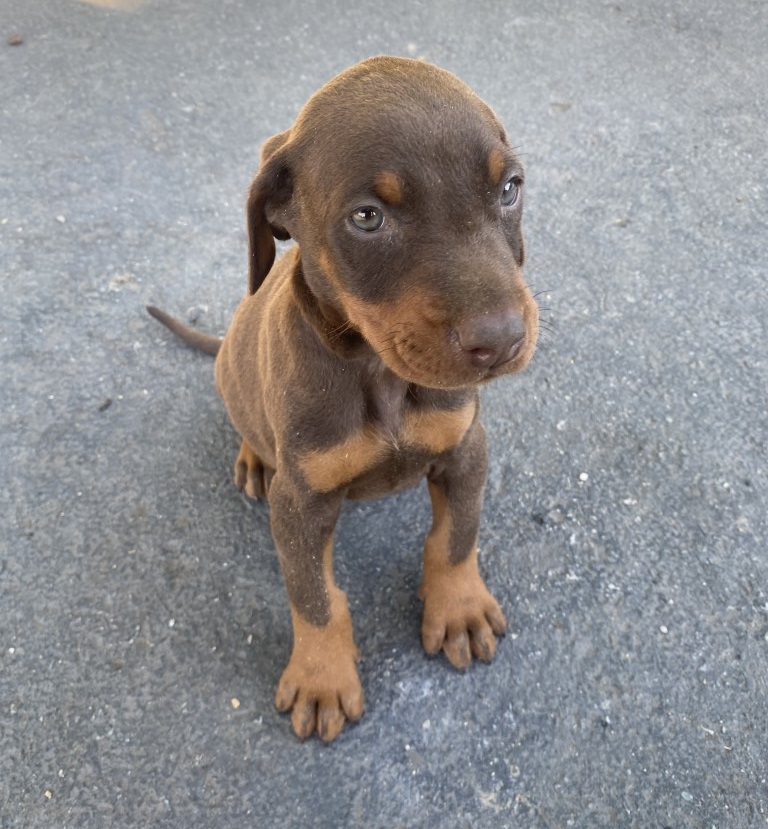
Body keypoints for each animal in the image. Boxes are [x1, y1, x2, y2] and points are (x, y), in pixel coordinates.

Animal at [146, 58, 540, 744]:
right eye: (367, 218)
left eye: (509, 188)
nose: (502, 340)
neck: (378, 373)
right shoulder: (299, 503)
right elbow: (314, 597)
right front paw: (322, 677)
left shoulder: (466, 448)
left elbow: (456, 536)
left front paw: (459, 608)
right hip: (234, 378)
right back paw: (253, 457)